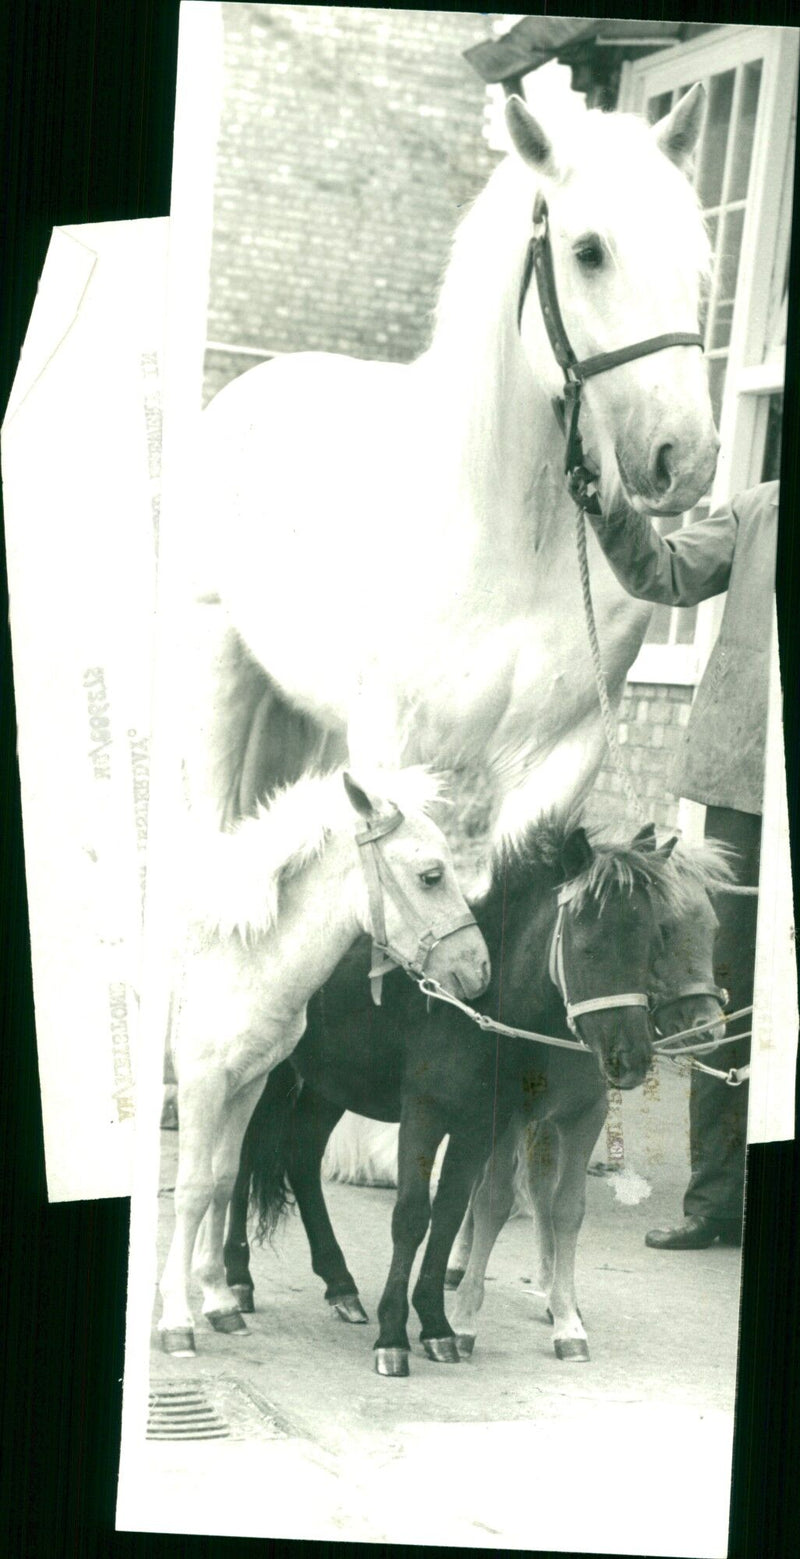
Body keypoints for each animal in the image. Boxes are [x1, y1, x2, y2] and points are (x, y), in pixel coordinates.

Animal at [155, 767, 486, 1353]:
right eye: (430, 876)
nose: (478, 971)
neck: (236, 952)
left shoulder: (247, 1083)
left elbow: (222, 1179)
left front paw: (218, 1303)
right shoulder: (201, 1084)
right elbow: (193, 1191)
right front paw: (177, 1320)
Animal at [184, 80, 714, 848]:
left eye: (697, 255)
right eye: (588, 252)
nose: (687, 458)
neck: (509, 537)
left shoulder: (559, 767)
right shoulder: (388, 753)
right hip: (218, 676)